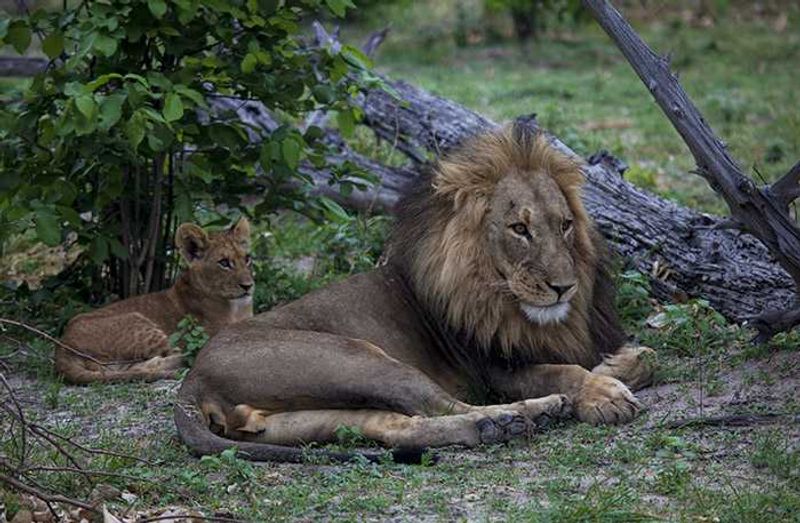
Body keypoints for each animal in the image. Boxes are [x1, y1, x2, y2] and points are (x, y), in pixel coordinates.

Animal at [57, 218, 254, 384]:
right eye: (224, 263)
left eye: (247, 259)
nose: (248, 286)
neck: (236, 307)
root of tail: (63, 347)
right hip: (141, 325)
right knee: (185, 354)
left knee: (134, 368)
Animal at [174, 125, 655, 463]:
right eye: (519, 228)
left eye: (565, 225)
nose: (563, 287)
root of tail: (191, 381)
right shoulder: (491, 369)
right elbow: (563, 371)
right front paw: (604, 394)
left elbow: (645, 358)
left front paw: (617, 364)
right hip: (359, 357)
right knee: (440, 404)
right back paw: (520, 416)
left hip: (298, 417)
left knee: (396, 425)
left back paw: (497, 428)